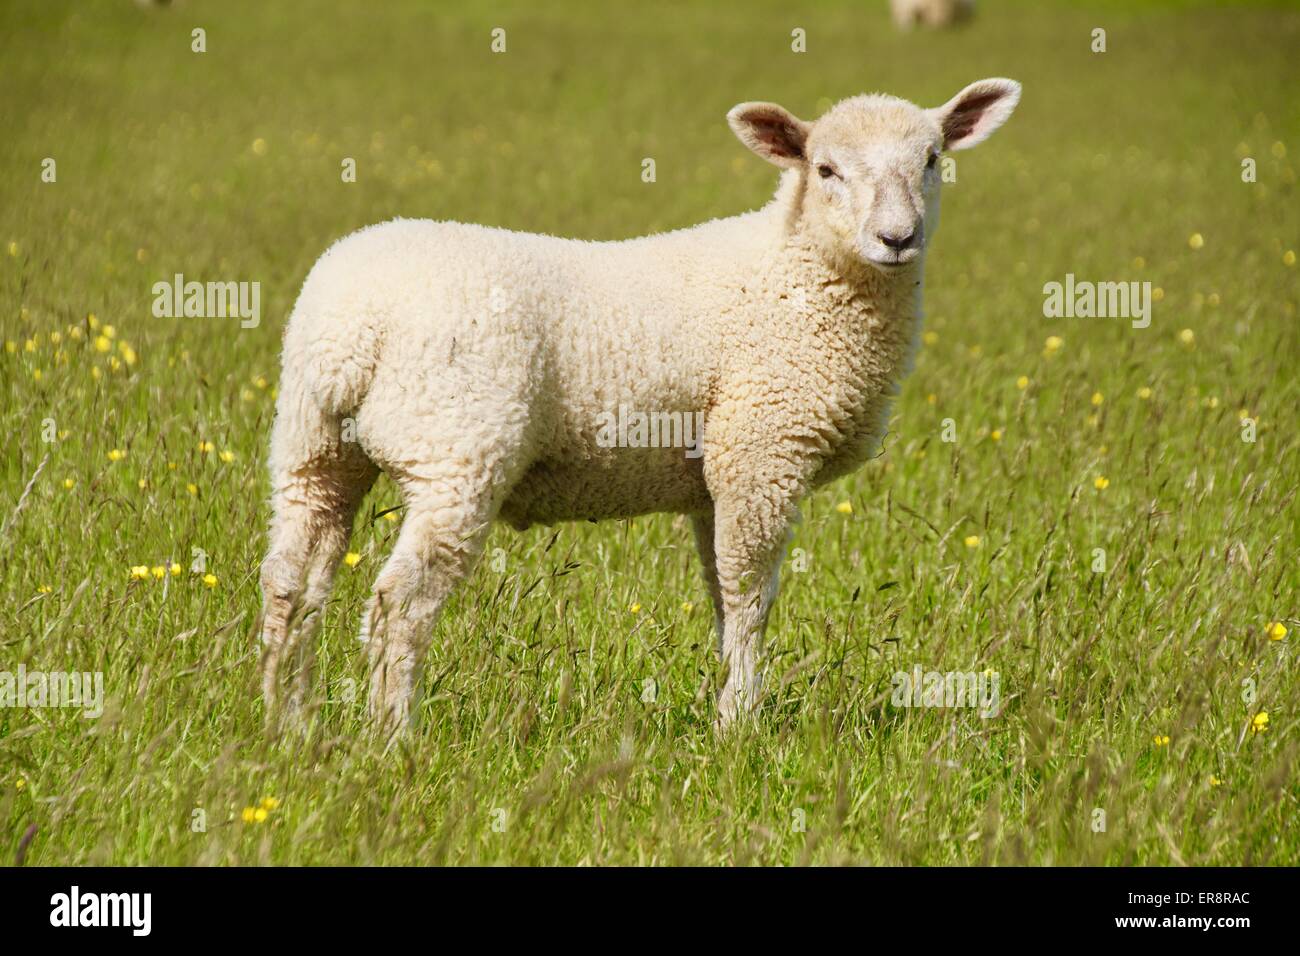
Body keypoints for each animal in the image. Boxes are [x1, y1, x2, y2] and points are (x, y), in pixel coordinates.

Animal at [258, 78, 1019, 738]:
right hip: (457, 447)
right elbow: (751, 596)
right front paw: (738, 723)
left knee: (290, 583)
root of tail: (353, 324)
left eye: (932, 160)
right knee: (398, 603)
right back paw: (391, 737)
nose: (898, 238)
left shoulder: (718, 475)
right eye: (826, 169)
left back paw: (287, 726)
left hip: (313, 444)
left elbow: (720, 592)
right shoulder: (762, 450)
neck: (797, 271)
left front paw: (729, 702)